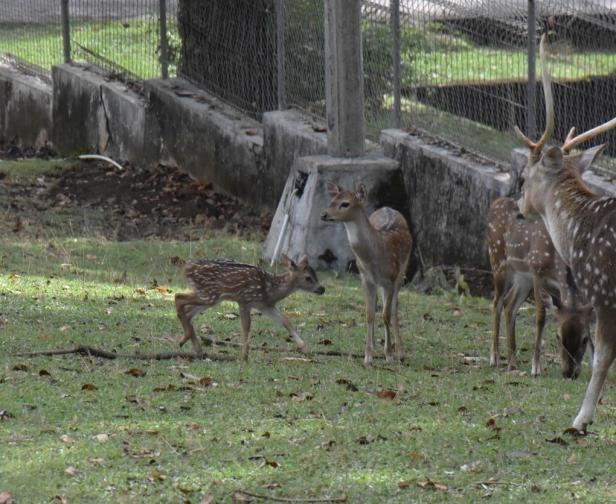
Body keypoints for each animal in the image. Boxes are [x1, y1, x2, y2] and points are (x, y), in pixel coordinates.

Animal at [173, 258, 324, 360]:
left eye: (315, 275)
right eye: (308, 278)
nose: (322, 289)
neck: (270, 290)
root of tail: (185, 268)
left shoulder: (266, 306)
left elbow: (286, 321)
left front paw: (305, 349)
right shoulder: (244, 300)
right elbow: (246, 326)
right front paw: (244, 356)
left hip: (208, 296)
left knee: (188, 311)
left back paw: (195, 347)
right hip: (209, 294)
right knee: (178, 297)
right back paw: (185, 340)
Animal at [320, 183, 412, 364]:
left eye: (345, 203)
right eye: (332, 200)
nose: (325, 214)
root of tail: (388, 208)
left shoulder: (390, 280)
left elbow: (386, 314)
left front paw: (389, 355)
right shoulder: (365, 278)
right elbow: (369, 313)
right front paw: (368, 355)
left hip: (401, 274)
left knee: (394, 308)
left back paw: (400, 352)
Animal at [488, 197, 596, 378]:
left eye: (585, 338)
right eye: (558, 337)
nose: (569, 373)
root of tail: (496, 202)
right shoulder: (537, 271)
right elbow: (541, 316)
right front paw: (535, 368)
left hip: (522, 278)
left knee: (509, 304)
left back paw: (512, 362)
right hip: (498, 261)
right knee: (496, 302)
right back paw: (494, 358)